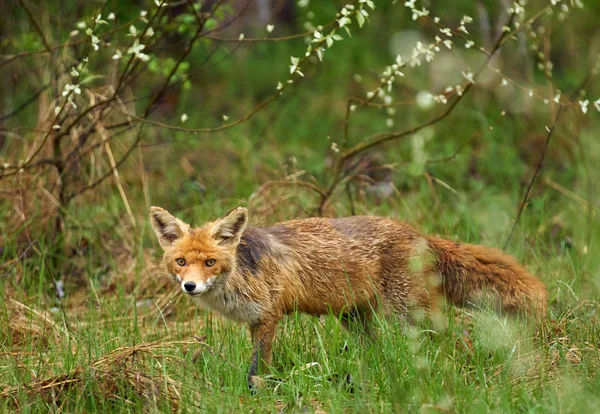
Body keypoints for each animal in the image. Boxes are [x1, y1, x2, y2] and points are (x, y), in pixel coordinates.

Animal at [150, 207, 548, 388]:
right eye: (181, 262)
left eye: (210, 262)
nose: (189, 287)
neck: (239, 275)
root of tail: (417, 233)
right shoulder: (255, 322)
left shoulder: (268, 316)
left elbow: (256, 367)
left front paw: (254, 393)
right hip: (355, 319)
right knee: (376, 350)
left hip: (409, 314)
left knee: (448, 343)